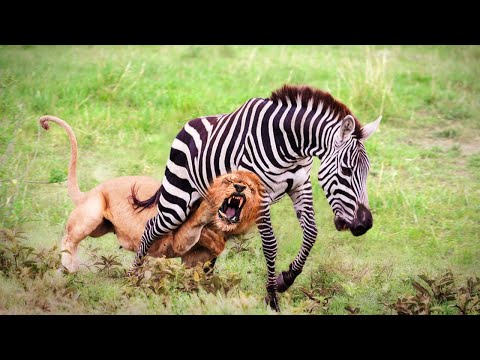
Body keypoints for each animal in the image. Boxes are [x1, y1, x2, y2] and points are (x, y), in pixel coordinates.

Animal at [38, 115, 262, 272]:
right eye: (228, 180)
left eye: (251, 185)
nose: (240, 187)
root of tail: (89, 192)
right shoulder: (181, 238)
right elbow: (200, 222)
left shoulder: (194, 258)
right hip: (92, 215)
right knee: (68, 239)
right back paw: (70, 267)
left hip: (101, 227)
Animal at [129, 85, 380, 312]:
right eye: (346, 171)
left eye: (367, 171)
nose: (365, 224)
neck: (292, 146)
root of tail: (188, 125)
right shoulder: (260, 195)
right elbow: (270, 245)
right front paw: (272, 298)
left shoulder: (301, 186)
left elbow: (310, 234)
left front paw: (285, 280)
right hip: (178, 199)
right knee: (152, 227)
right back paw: (132, 279)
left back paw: (204, 284)